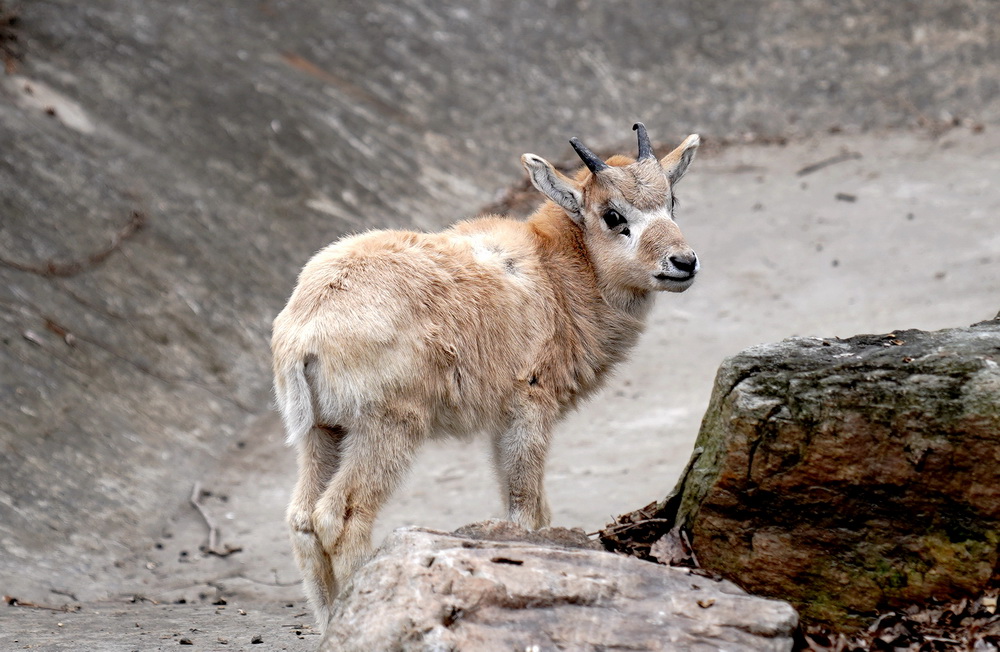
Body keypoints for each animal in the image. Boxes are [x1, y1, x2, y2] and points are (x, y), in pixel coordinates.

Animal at [270, 123, 700, 632]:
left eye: (672, 200)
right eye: (613, 215)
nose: (683, 263)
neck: (557, 273)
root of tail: (305, 330)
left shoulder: (501, 421)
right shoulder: (529, 407)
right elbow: (526, 509)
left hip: (321, 431)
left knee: (301, 518)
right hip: (388, 426)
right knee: (342, 516)